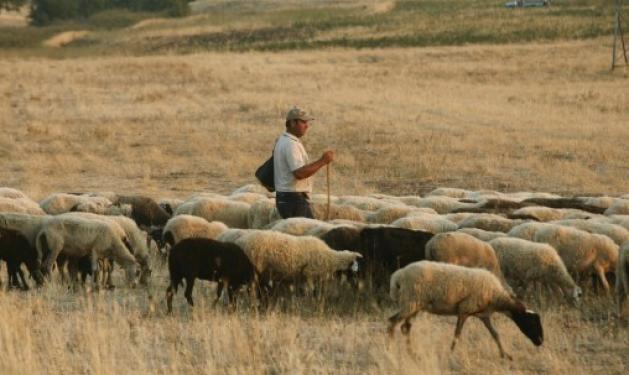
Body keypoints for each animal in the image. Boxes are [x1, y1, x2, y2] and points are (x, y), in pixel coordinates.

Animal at [386, 262, 544, 362]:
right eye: (532, 323)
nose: (540, 342)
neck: (495, 296)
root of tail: (397, 277)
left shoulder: (483, 315)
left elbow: (495, 334)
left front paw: (505, 355)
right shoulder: (464, 310)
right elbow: (457, 334)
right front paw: (451, 354)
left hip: (414, 306)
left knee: (405, 327)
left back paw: (412, 354)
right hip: (410, 303)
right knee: (392, 322)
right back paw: (389, 351)